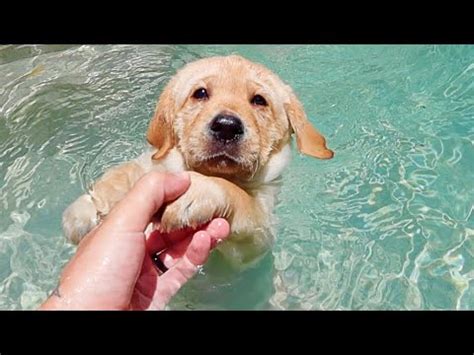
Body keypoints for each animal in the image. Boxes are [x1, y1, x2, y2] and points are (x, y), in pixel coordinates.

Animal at [63, 54, 334, 268]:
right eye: (200, 93)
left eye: (259, 100)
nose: (227, 126)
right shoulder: (150, 162)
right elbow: (122, 173)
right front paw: (86, 210)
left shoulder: (256, 242)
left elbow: (240, 198)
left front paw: (200, 190)